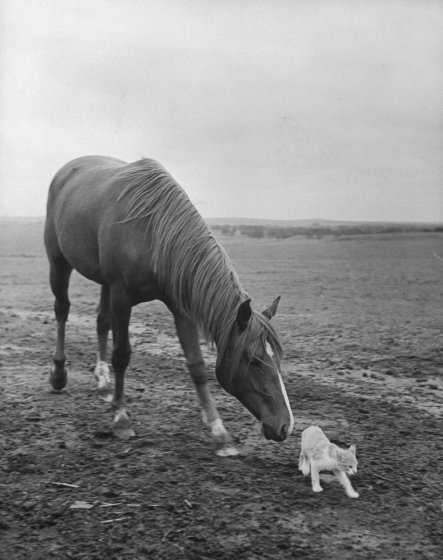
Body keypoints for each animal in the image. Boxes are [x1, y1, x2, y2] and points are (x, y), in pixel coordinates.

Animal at [44, 154, 294, 456]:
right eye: (255, 360)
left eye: (277, 359)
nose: (285, 426)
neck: (152, 234)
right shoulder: (122, 297)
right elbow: (122, 355)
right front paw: (121, 418)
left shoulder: (179, 305)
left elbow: (196, 364)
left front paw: (218, 431)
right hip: (59, 263)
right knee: (62, 310)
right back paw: (59, 373)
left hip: (103, 282)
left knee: (101, 321)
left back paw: (103, 382)